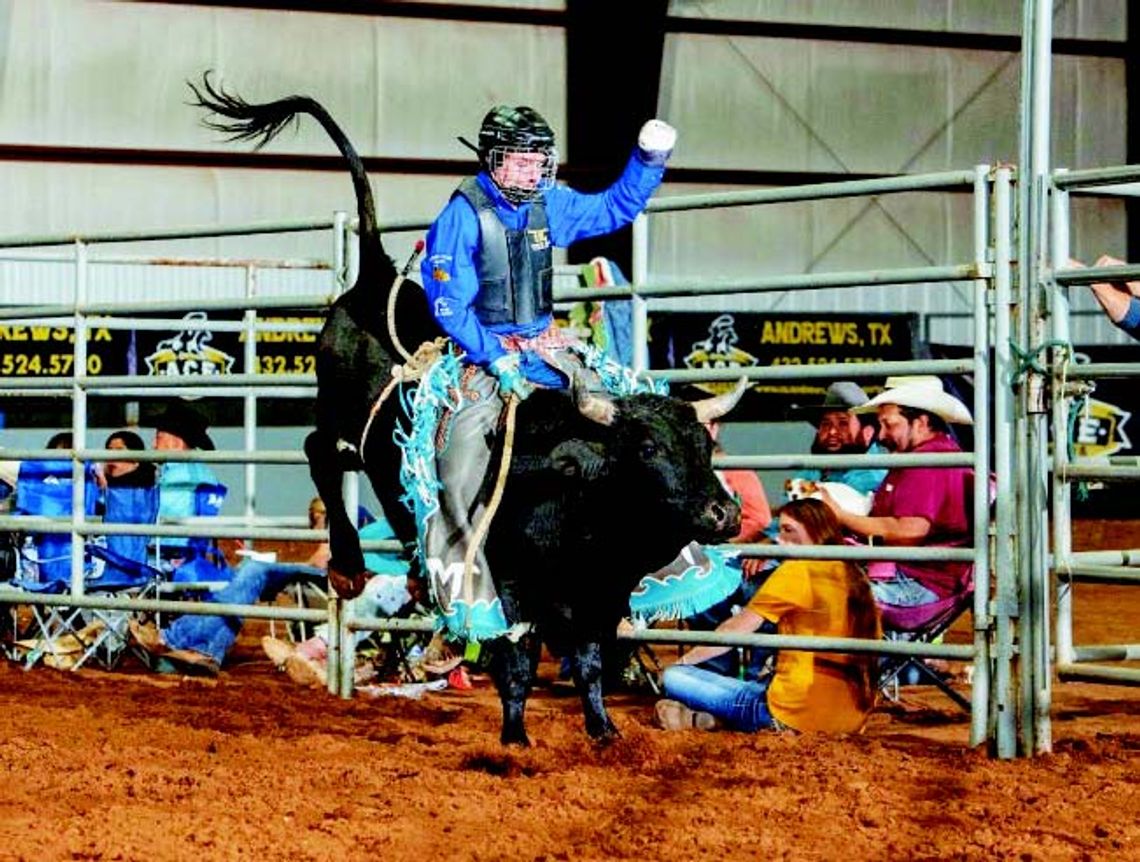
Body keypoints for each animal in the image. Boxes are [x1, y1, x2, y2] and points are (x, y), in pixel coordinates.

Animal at [188, 73, 745, 744]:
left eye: (706, 444)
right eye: (647, 447)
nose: (724, 512)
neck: (582, 500)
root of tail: (373, 275)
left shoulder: (597, 596)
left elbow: (589, 661)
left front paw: (604, 730)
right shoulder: (510, 585)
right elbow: (519, 659)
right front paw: (514, 737)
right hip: (341, 416)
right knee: (319, 452)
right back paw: (347, 564)